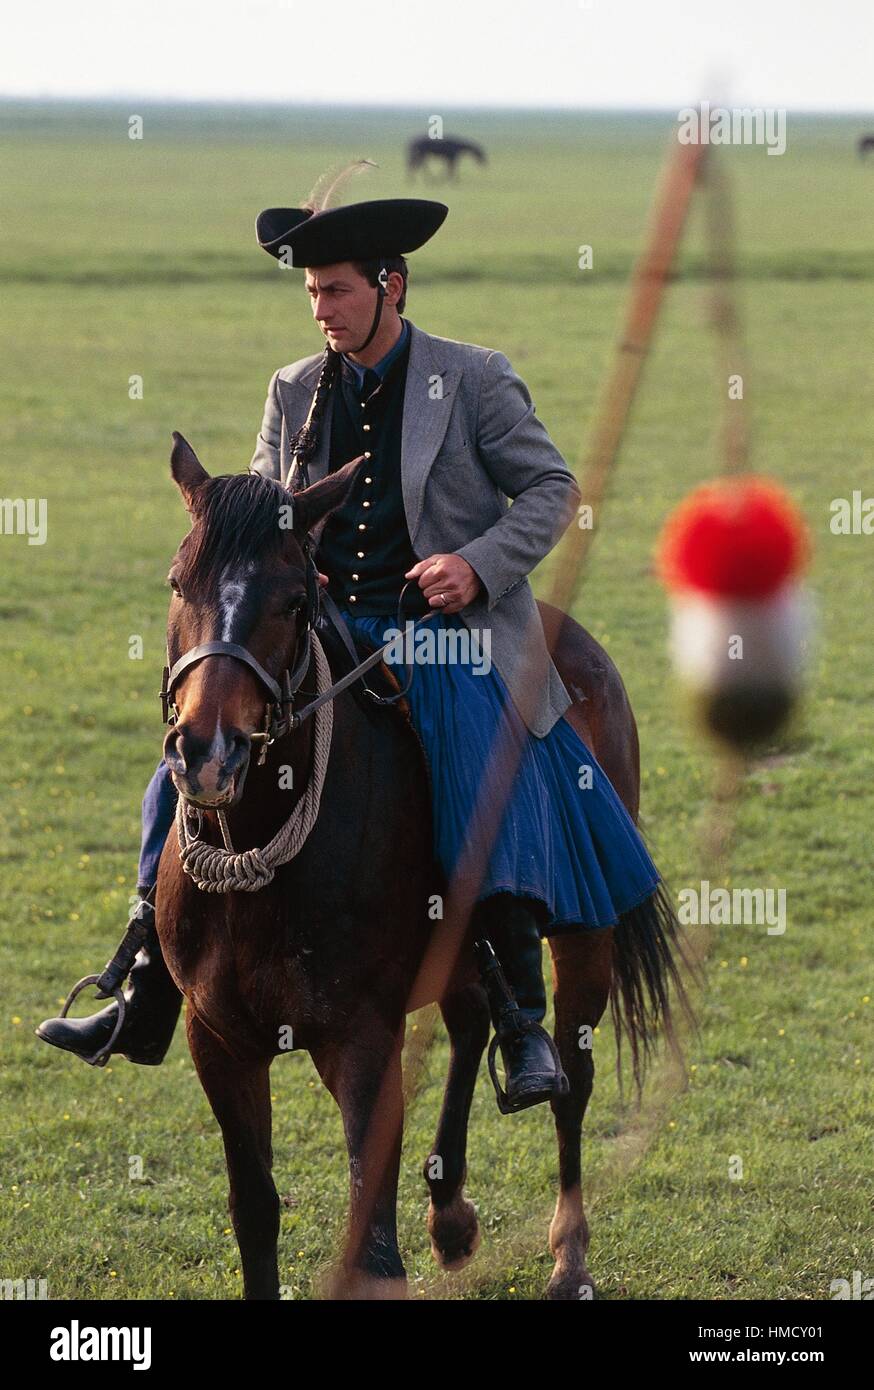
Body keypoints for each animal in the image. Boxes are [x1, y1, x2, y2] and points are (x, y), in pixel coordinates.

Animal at [157, 436, 689, 1301]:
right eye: (179, 583)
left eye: (295, 601)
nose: (207, 751)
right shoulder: (219, 1040)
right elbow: (256, 1211)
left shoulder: (363, 1040)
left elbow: (372, 1238)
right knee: (473, 1021)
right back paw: (450, 1209)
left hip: (588, 940)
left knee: (572, 1079)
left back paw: (568, 1254)